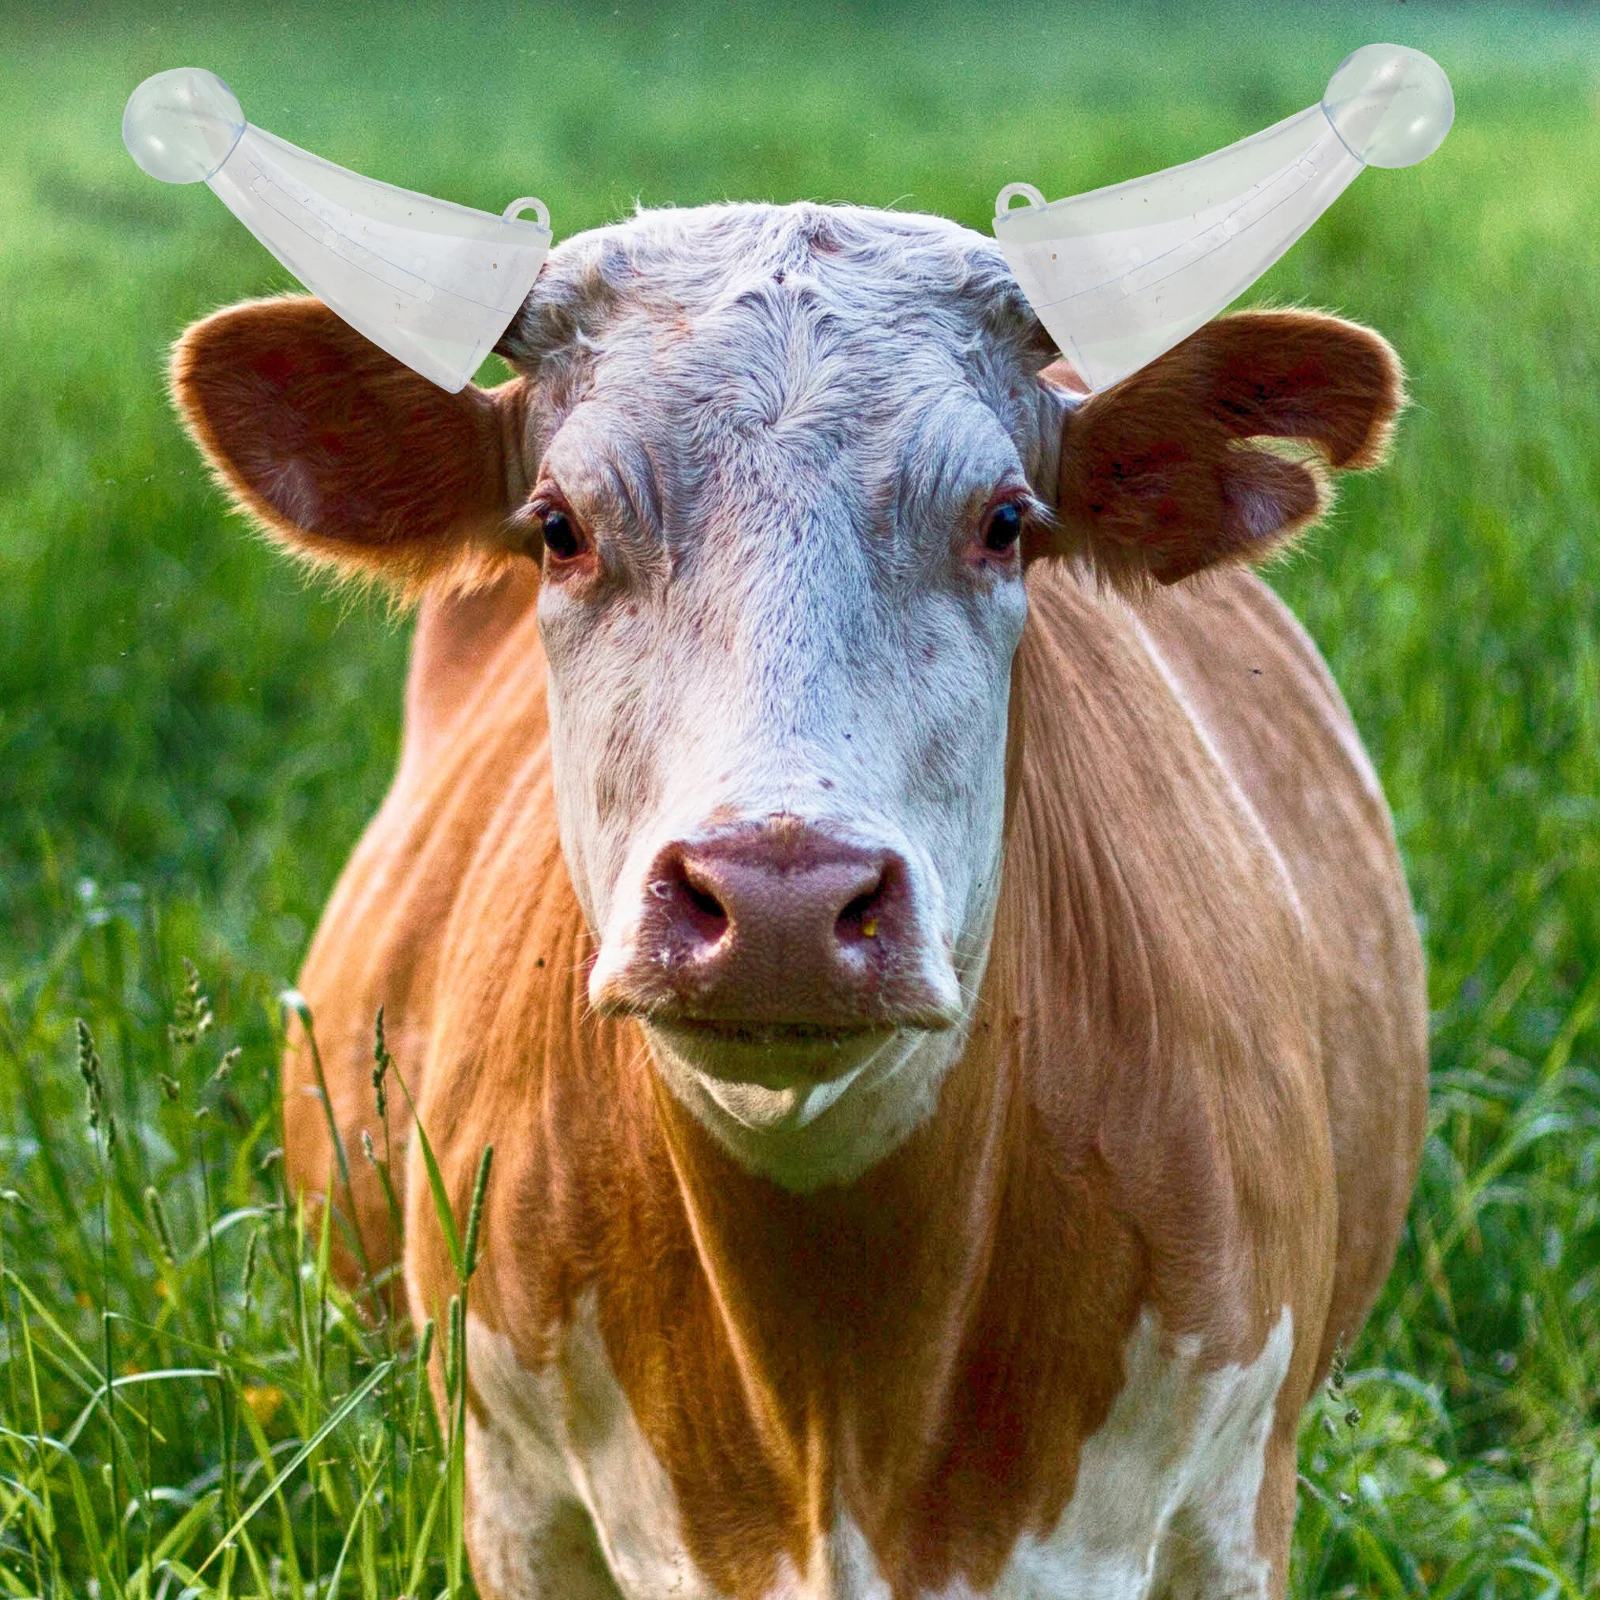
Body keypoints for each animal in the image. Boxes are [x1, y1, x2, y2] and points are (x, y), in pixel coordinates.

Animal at [172, 202, 1427, 1600]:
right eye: (558, 526)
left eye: (1005, 520)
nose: (779, 900)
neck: (834, 1398)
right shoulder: (515, 1497)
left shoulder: (1229, 1495)